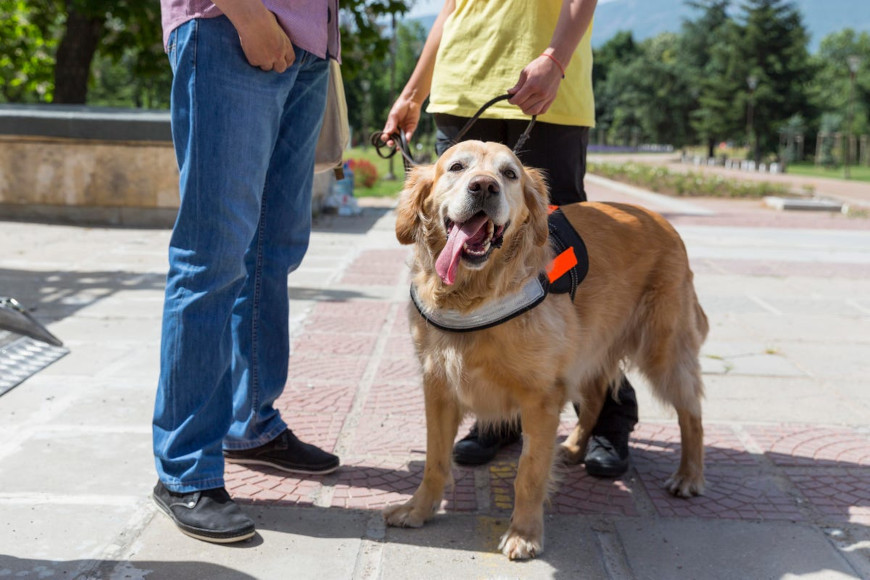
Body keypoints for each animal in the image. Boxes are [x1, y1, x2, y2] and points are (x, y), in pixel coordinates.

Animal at [384, 138, 712, 560]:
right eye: (456, 167)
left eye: (509, 174)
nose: (484, 187)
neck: (475, 292)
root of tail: (663, 221)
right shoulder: (438, 386)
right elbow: (434, 461)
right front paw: (418, 509)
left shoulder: (541, 395)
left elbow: (529, 471)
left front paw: (524, 533)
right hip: (590, 348)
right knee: (596, 397)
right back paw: (573, 446)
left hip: (663, 349)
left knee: (691, 412)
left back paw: (689, 475)